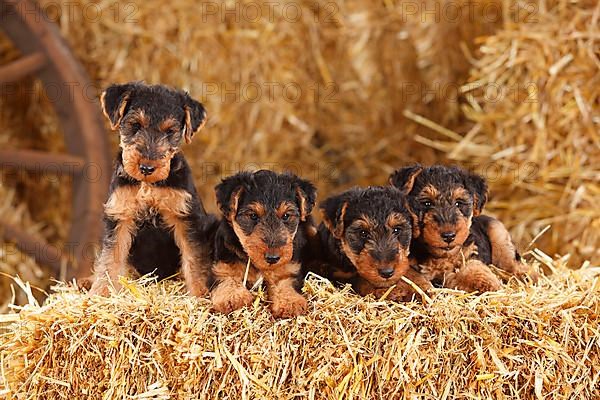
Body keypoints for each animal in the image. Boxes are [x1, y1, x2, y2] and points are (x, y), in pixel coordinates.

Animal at [392, 162, 536, 290]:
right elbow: (411, 276)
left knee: (511, 261)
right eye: (427, 203)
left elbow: (474, 266)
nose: (449, 236)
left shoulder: (471, 252)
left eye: (458, 203)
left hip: (498, 233)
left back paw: (527, 276)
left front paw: (486, 284)